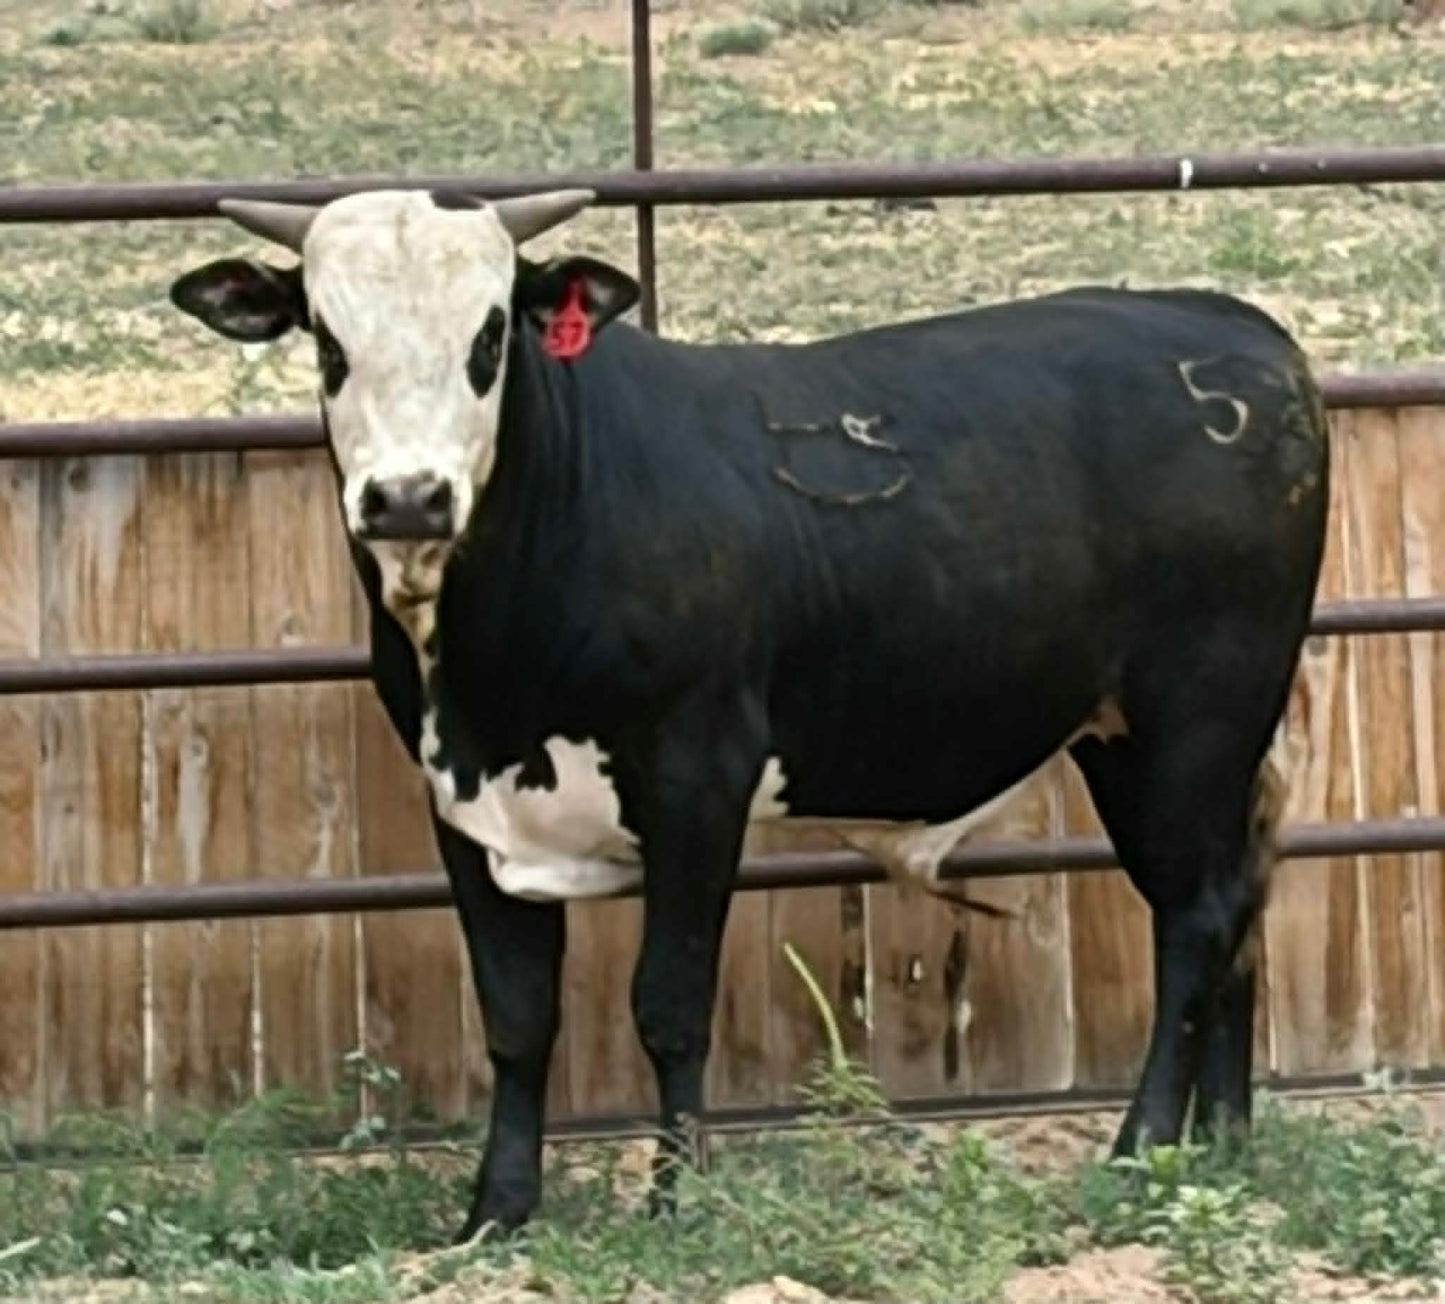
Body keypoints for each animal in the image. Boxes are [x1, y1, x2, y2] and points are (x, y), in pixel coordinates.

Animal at [167, 186, 1330, 1241]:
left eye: (490, 333)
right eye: (328, 338)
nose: (408, 498)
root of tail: (1238, 332)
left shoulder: (696, 777)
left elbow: (669, 1004)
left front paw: (676, 1199)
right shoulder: (461, 799)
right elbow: (516, 1015)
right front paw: (496, 1211)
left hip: (1192, 723)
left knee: (1196, 916)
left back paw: (1139, 1148)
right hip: (1161, 743)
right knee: (1234, 904)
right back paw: (1219, 1145)